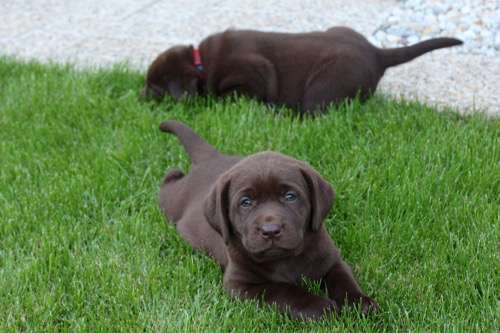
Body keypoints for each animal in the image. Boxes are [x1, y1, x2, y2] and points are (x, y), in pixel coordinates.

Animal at [143, 26, 462, 114]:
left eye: (155, 88)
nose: (139, 96)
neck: (201, 61)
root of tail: (375, 53)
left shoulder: (256, 71)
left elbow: (233, 94)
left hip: (325, 83)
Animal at [158, 120, 376, 320]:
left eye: (290, 196)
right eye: (246, 202)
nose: (270, 230)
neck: (284, 259)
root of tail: (212, 158)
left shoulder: (331, 259)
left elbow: (343, 279)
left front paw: (359, 302)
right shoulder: (240, 284)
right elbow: (282, 291)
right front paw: (320, 306)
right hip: (172, 200)